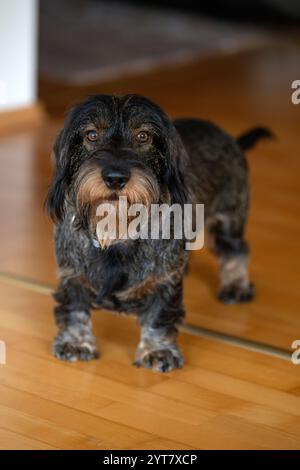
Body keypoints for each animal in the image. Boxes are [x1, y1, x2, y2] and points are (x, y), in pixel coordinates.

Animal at [45, 93, 274, 372]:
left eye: (143, 136)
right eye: (91, 134)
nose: (115, 178)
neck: (117, 229)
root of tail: (230, 137)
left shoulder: (163, 280)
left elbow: (158, 315)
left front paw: (158, 350)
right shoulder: (72, 274)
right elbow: (75, 308)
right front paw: (76, 343)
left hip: (227, 219)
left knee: (235, 250)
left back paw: (235, 285)